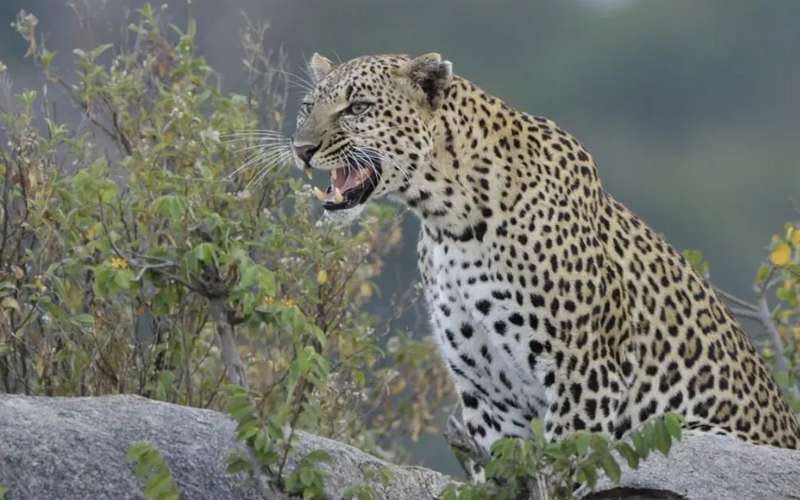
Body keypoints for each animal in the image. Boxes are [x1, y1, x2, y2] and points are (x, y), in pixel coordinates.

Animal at [288, 52, 800, 466]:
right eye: (307, 107)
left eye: (358, 107)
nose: (301, 149)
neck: (449, 221)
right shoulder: (489, 396)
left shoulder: (585, 379)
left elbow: (561, 471)